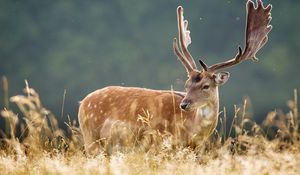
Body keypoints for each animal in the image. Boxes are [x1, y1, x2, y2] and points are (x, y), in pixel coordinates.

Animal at [78, 0, 272, 154]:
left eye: (206, 86)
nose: (184, 104)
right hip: (91, 139)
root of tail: (82, 103)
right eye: (186, 85)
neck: (189, 131)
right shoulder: (158, 143)